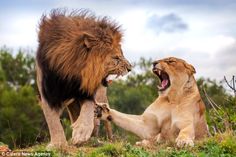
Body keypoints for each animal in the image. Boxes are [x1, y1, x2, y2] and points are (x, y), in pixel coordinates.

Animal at [35, 8, 131, 148]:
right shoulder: (47, 93)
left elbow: (88, 109)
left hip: (102, 97)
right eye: (116, 58)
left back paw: (102, 139)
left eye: (121, 55)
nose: (130, 68)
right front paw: (58, 143)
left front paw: (81, 133)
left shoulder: (86, 91)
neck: (70, 73)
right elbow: (52, 120)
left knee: (104, 119)